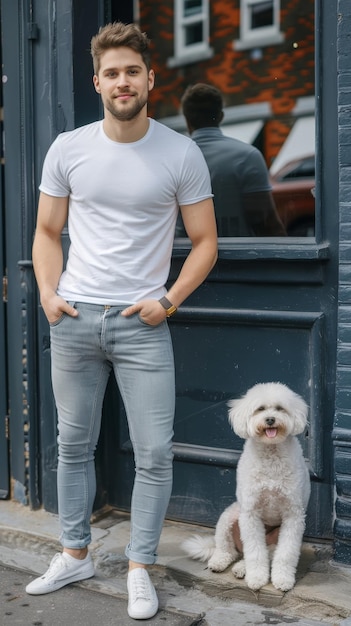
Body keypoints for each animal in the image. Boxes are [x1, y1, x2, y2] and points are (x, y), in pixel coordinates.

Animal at [183, 380, 312, 588]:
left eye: (280, 408)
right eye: (260, 409)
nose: (270, 419)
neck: (271, 453)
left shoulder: (293, 515)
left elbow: (286, 554)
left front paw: (283, 579)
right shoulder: (250, 514)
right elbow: (255, 553)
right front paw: (257, 577)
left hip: (272, 538)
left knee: (261, 554)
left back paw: (241, 568)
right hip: (229, 518)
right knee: (229, 549)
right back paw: (220, 562)